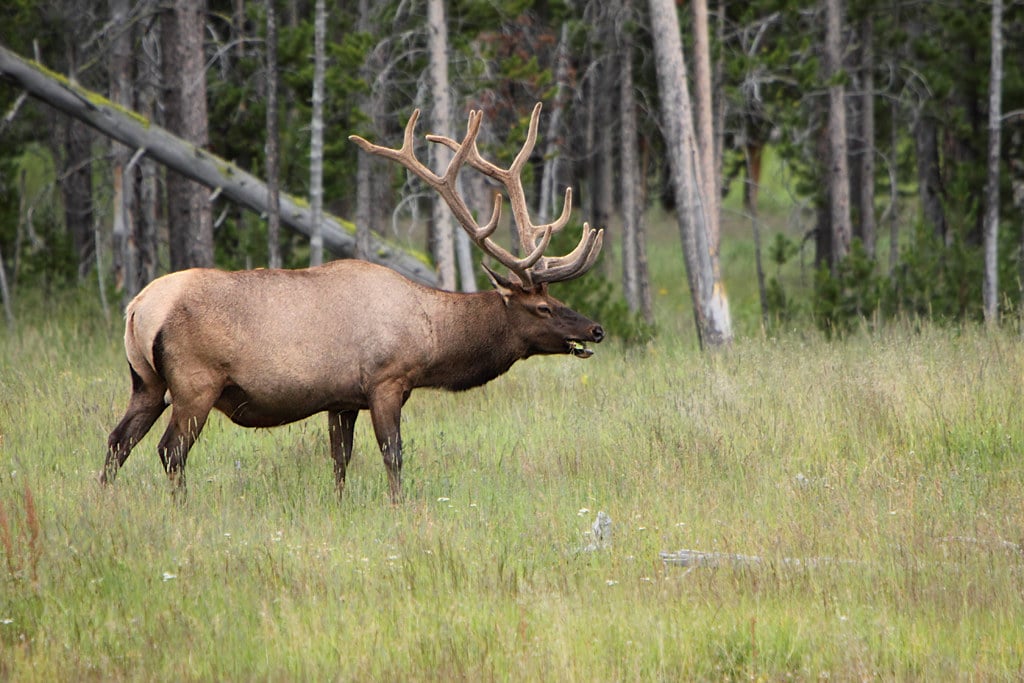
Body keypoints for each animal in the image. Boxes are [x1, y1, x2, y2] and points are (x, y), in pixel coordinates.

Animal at [100, 103, 604, 503]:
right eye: (542, 307)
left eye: (557, 298)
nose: (594, 328)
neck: (432, 339)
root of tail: (137, 308)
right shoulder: (386, 381)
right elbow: (393, 456)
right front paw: (399, 507)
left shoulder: (341, 400)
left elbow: (339, 461)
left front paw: (341, 505)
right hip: (195, 383)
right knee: (170, 450)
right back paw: (179, 507)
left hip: (146, 382)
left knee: (117, 440)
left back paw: (103, 501)